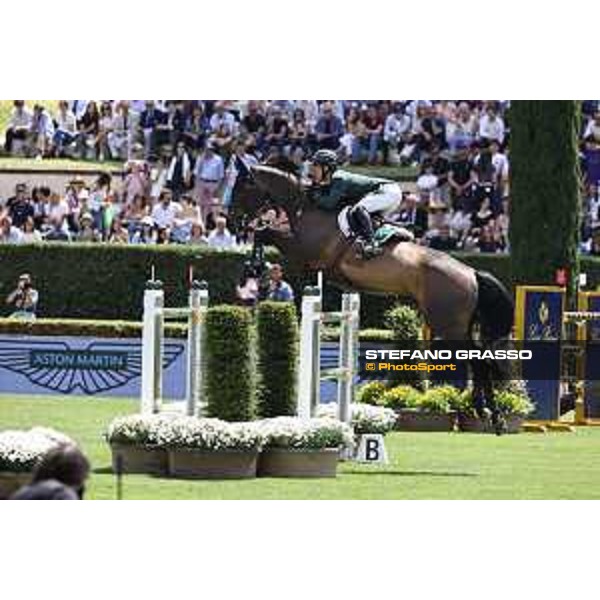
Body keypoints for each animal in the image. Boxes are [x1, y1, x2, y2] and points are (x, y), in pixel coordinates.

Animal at [232, 162, 512, 428]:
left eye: (240, 189)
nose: (234, 222)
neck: (305, 207)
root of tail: (471, 273)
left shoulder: (304, 252)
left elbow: (265, 233)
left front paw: (254, 265)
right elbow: (265, 232)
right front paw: (253, 266)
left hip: (448, 325)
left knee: (478, 361)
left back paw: (490, 413)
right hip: (460, 326)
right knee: (479, 360)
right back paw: (487, 413)